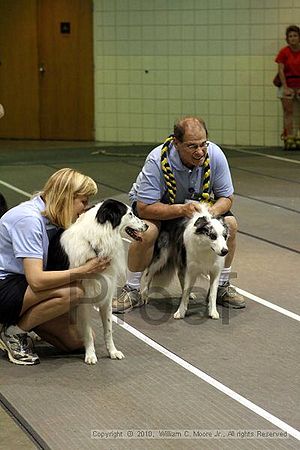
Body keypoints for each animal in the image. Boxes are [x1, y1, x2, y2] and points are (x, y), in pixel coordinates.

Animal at [47, 200, 148, 366]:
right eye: (130, 214)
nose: (147, 226)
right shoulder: (83, 300)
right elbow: (88, 331)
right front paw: (90, 354)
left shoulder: (106, 298)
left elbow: (108, 329)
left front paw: (112, 352)